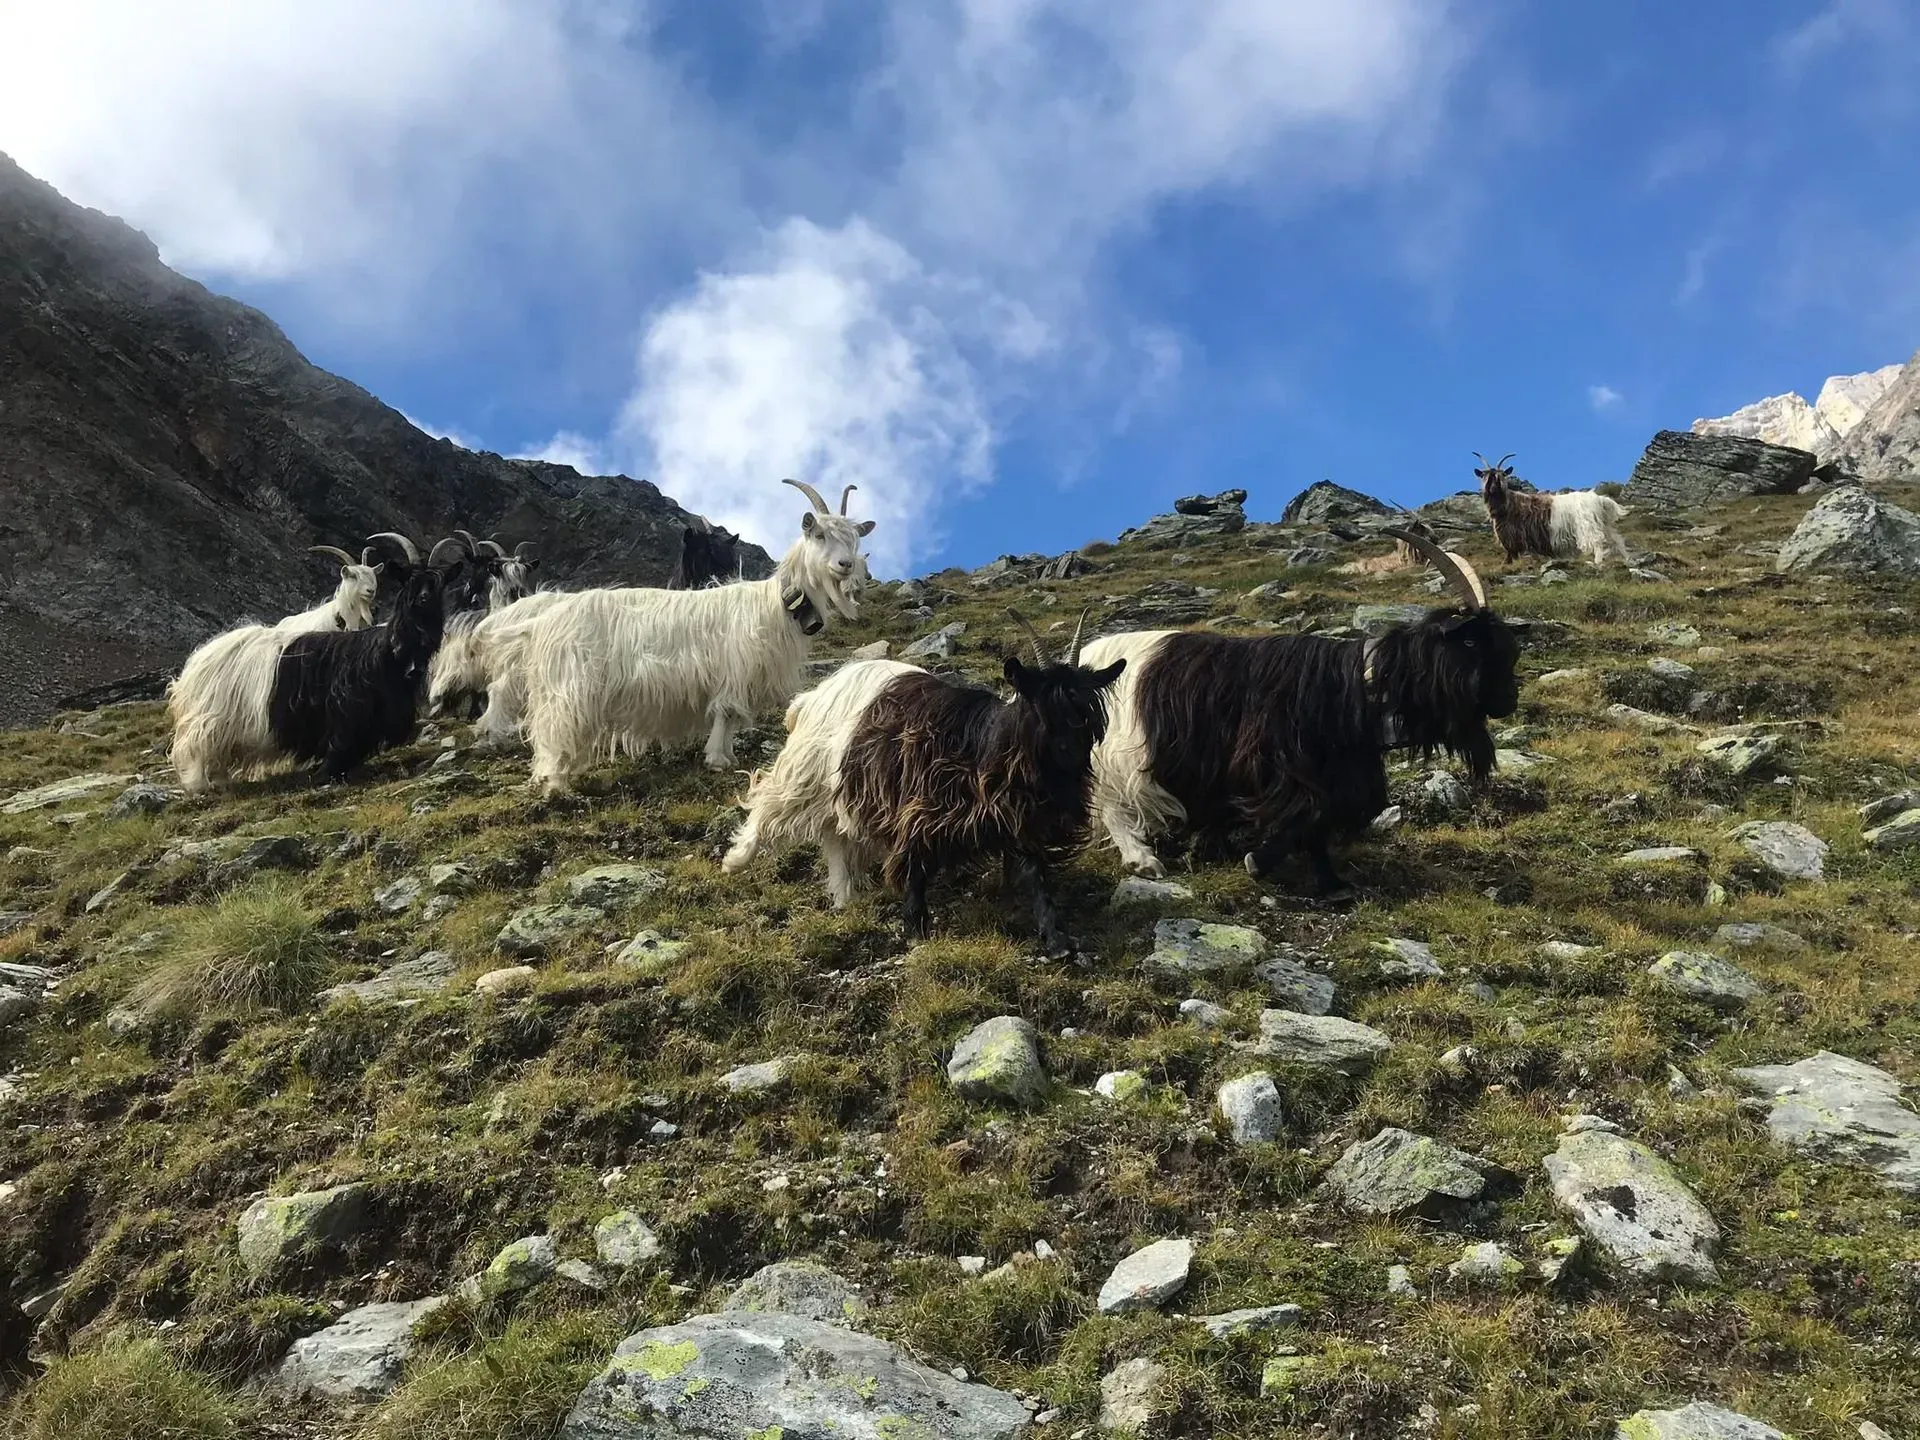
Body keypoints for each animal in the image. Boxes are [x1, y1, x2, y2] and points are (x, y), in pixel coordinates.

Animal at [167, 539, 395, 794]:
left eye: (372, 575)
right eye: (353, 576)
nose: (371, 591)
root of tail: (193, 666)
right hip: (210, 717)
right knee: (194, 745)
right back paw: (200, 784)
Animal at [511, 479, 873, 792]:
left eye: (852, 539)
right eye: (819, 534)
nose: (845, 564)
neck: (775, 603)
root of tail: (546, 620)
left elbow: (731, 716)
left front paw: (728, 756)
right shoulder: (734, 668)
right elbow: (725, 712)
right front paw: (716, 759)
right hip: (569, 686)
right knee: (554, 729)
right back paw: (554, 782)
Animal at [723, 610, 1125, 950]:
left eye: (1087, 714)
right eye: (1040, 709)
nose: (1071, 759)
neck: (989, 745)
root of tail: (811, 697)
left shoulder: (1018, 821)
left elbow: (1035, 877)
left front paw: (1057, 941)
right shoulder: (921, 811)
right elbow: (915, 867)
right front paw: (915, 929)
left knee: (835, 835)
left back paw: (844, 897)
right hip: (805, 771)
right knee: (769, 805)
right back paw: (735, 860)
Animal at [1082, 530, 1518, 896]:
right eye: (1472, 642)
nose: (1509, 701)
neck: (1357, 684)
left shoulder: (1333, 770)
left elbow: (1319, 821)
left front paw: (1331, 883)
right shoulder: (1278, 761)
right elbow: (1309, 811)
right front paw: (1258, 861)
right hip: (1115, 755)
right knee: (1109, 804)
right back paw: (1142, 860)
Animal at [1475, 452, 1629, 566]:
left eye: (1501, 476)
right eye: (1485, 477)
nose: (1493, 489)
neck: (1507, 504)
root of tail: (1599, 499)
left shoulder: (1514, 538)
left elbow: (1512, 555)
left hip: (1588, 526)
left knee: (1598, 541)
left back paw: (1597, 562)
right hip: (1604, 525)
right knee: (1617, 541)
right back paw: (1627, 558)